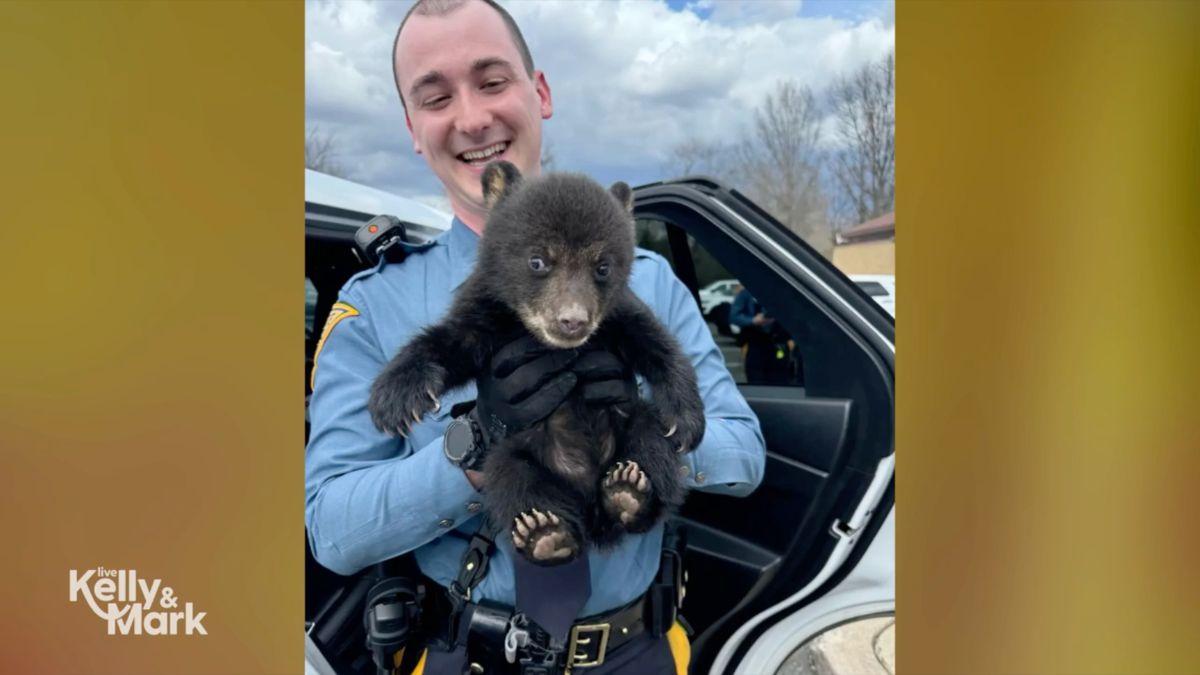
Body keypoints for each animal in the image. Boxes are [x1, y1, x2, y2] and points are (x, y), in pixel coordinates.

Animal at [367, 161, 705, 565]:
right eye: (538, 260)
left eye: (603, 267)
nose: (572, 320)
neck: (541, 339)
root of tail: (590, 506)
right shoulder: (488, 313)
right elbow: (452, 343)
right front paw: (394, 400)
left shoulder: (617, 316)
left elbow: (658, 344)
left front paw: (686, 422)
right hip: (515, 454)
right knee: (511, 479)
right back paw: (545, 533)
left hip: (632, 425)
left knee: (651, 443)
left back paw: (630, 491)